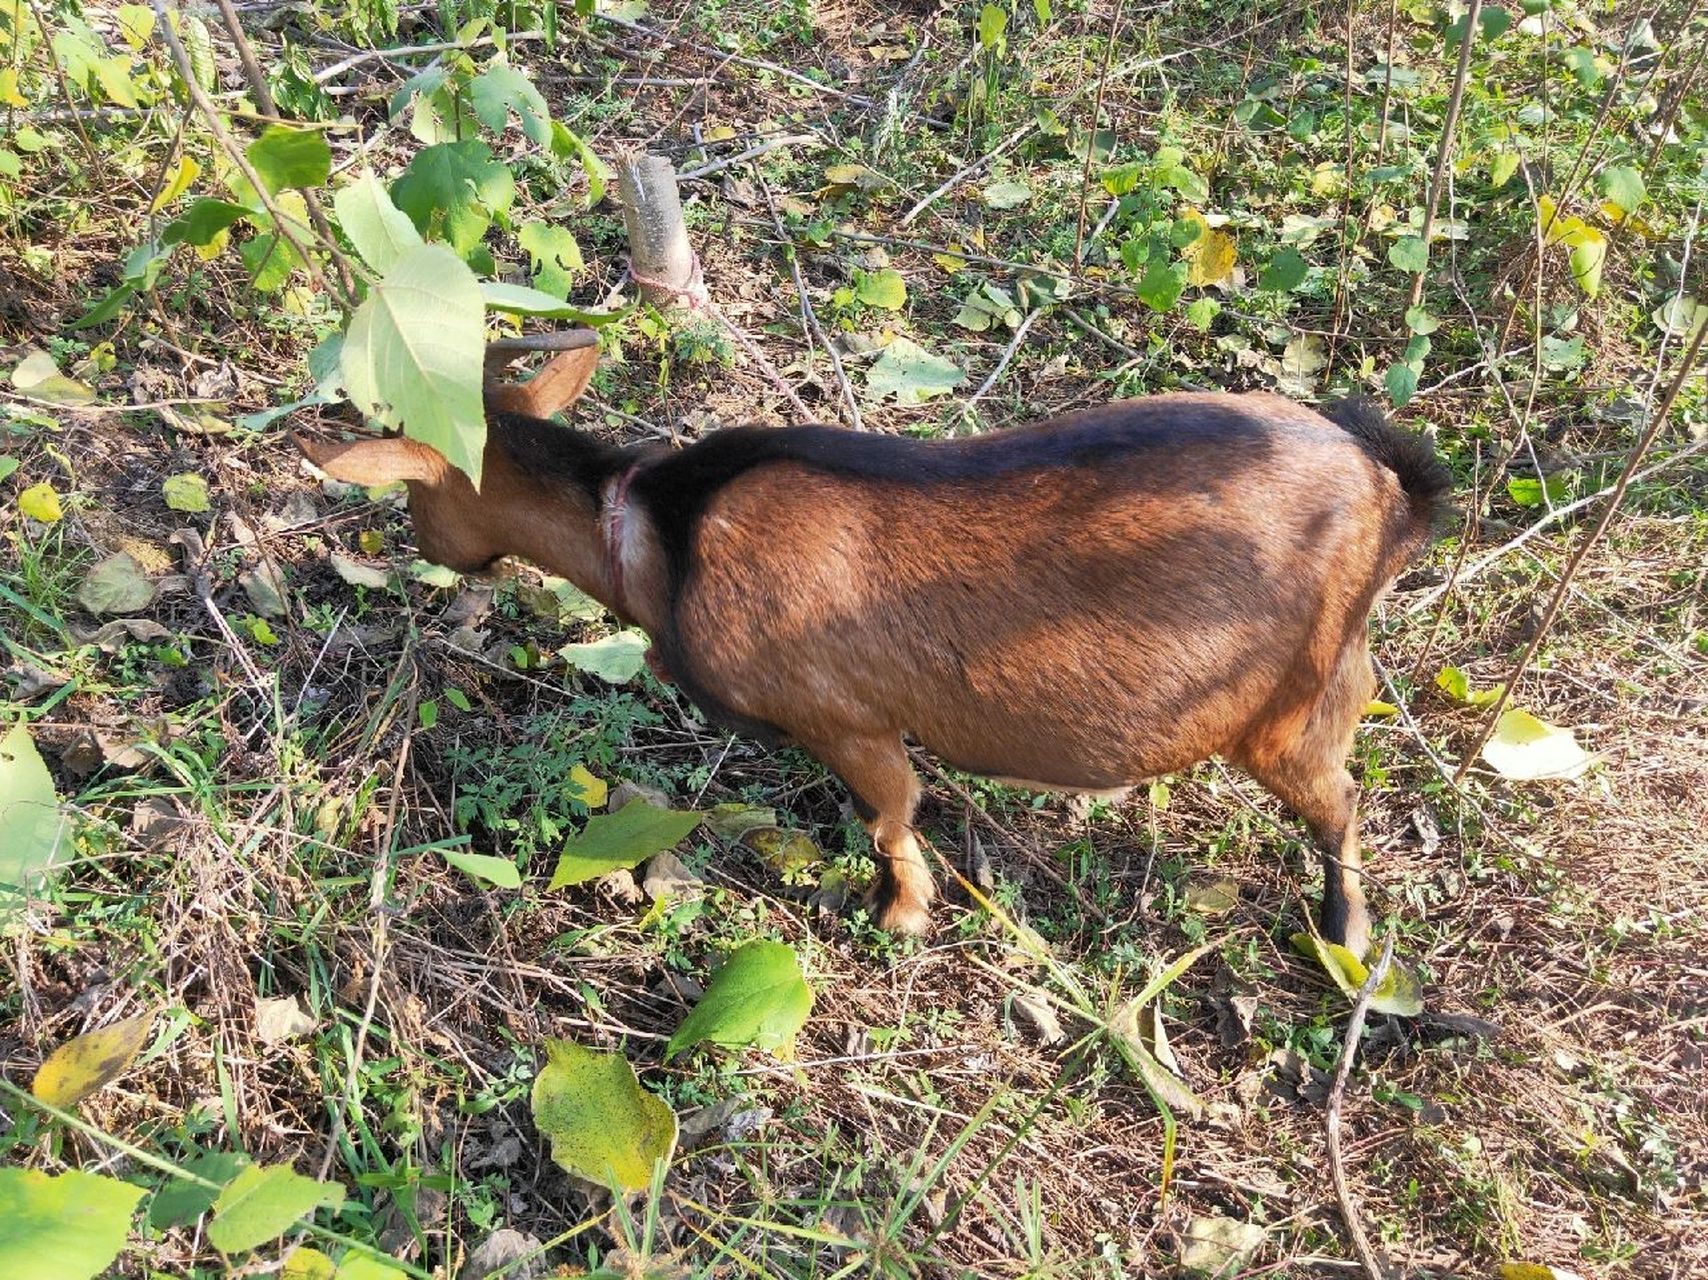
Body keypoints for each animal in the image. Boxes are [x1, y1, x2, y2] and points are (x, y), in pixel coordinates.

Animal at [297, 334, 1455, 957]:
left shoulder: (846, 717)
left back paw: (1345, 931)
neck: (662, 530)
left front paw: (898, 916)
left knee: (1338, 800)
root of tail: (1390, 489)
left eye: (411, 488)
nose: (422, 546)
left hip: (1297, 694)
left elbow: (889, 816)